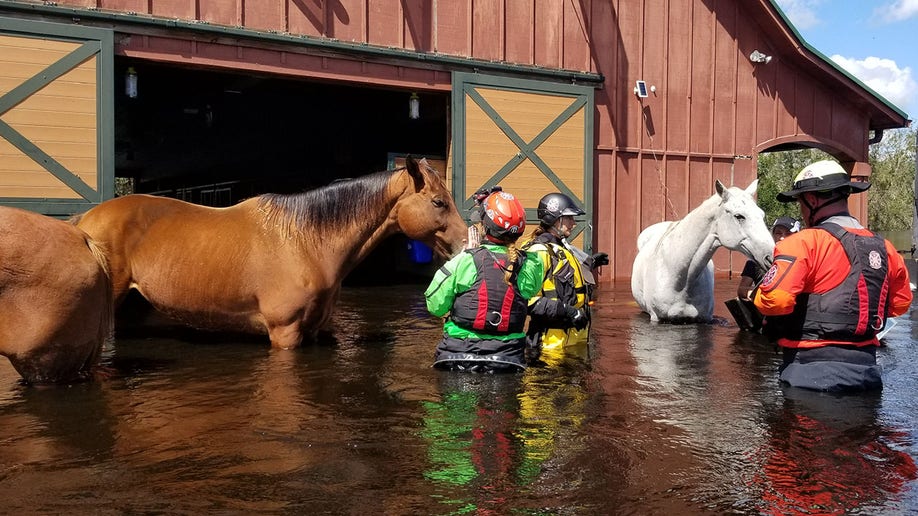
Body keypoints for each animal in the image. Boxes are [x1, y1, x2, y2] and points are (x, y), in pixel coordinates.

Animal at [73, 155, 468, 348]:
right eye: (438, 202)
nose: (466, 242)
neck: (307, 242)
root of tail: (84, 221)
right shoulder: (284, 333)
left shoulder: (311, 331)